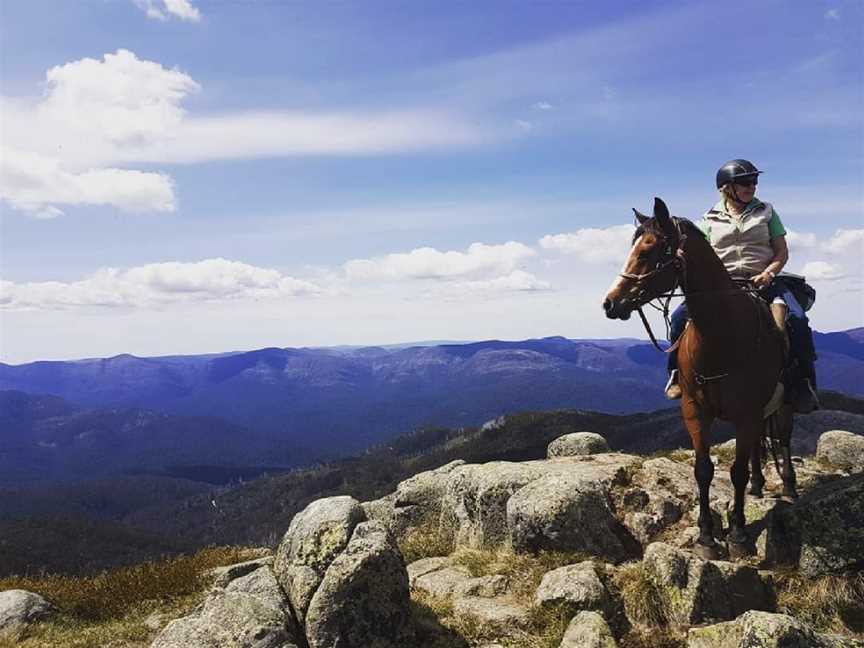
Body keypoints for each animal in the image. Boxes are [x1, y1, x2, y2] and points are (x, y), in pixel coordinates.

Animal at [600, 195, 796, 560]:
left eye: (647, 251)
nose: (610, 303)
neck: (723, 335)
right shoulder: (694, 409)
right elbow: (703, 470)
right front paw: (706, 536)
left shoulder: (746, 413)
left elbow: (736, 471)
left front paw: (738, 534)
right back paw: (759, 485)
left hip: (785, 401)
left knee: (784, 438)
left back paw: (788, 485)